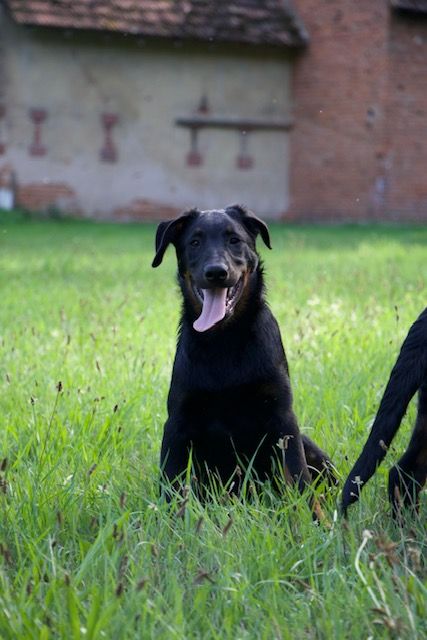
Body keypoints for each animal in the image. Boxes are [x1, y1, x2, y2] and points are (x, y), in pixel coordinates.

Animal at [152, 204, 336, 510]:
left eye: (234, 240)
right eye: (195, 242)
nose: (216, 272)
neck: (224, 339)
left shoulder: (283, 418)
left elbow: (298, 477)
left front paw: (310, 517)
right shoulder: (178, 422)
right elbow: (171, 484)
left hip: (309, 444)